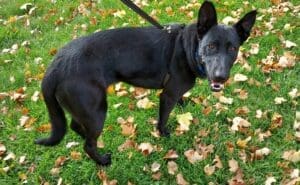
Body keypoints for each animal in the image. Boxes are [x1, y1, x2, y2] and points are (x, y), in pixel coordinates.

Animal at [35, 1, 255, 166]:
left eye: (233, 48)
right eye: (211, 46)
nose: (220, 77)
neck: (188, 48)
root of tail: (54, 67)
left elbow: (180, 99)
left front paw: (183, 103)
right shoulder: (167, 95)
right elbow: (163, 119)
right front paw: (164, 134)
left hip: (85, 109)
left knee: (76, 126)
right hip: (96, 110)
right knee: (88, 144)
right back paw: (102, 161)